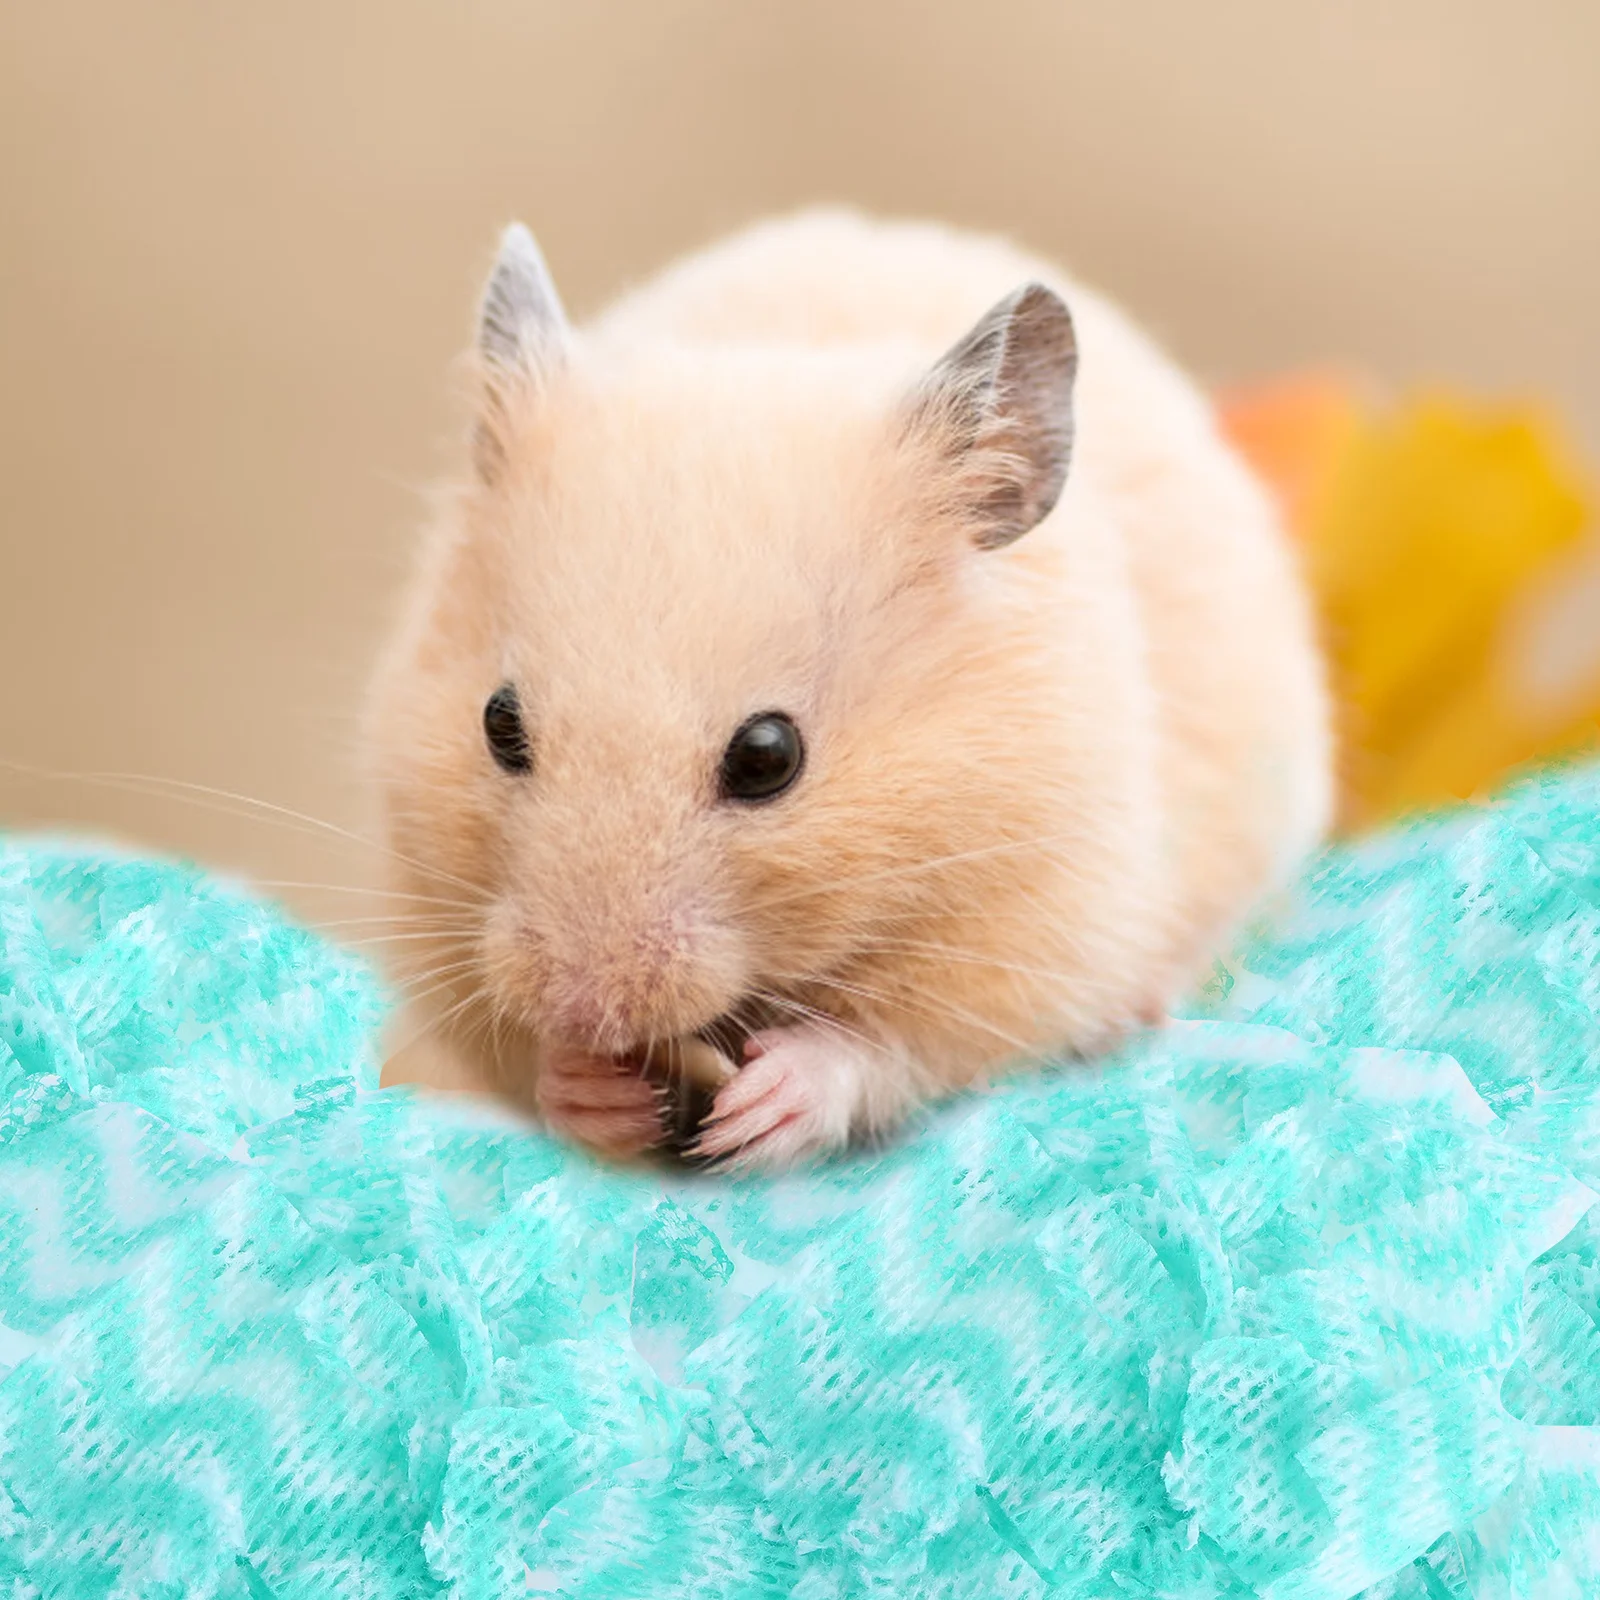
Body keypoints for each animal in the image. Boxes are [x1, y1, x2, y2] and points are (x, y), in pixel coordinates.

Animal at [366, 208, 1332, 1170]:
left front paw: (762, 1108)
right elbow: (519, 1065)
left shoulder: (1038, 935)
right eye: (498, 723)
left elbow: (889, 1049)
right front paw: (594, 1088)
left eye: (768, 757)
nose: (586, 1007)